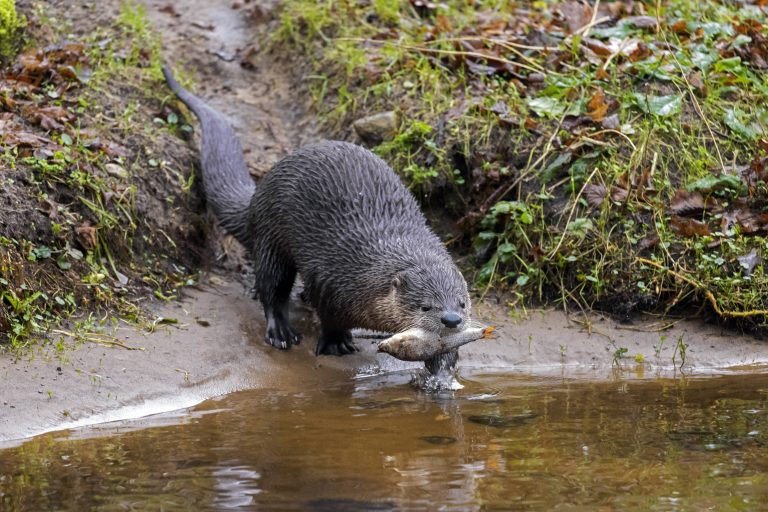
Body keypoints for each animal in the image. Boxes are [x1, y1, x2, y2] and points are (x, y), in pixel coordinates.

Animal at [164, 67, 468, 364]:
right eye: (425, 305)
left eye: (462, 302)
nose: (451, 319)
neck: (366, 271)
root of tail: (256, 197)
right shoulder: (331, 282)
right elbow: (330, 317)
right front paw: (335, 342)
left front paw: (445, 363)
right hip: (271, 235)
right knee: (272, 286)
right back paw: (280, 331)